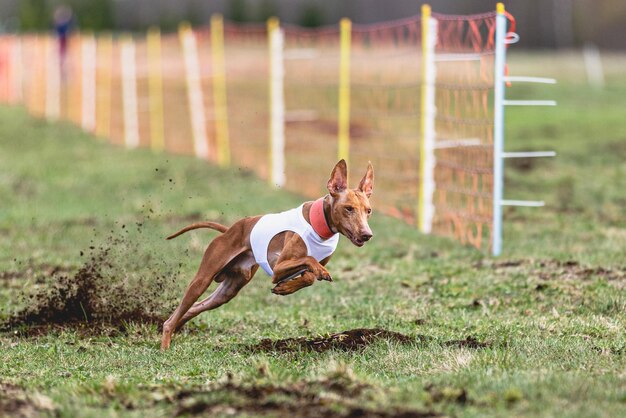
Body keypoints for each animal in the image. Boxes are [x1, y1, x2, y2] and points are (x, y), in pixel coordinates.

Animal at [161, 160, 372, 350]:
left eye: (368, 211)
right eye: (348, 208)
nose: (367, 235)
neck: (319, 225)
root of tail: (228, 230)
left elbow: (310, 275)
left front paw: (287, 287)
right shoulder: (278, 268)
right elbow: (309, 259)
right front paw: (290, 284)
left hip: (228, 290)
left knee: (192, 309)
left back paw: (178, 327)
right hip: (202, 279)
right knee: (172, 319)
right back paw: (165, 345)